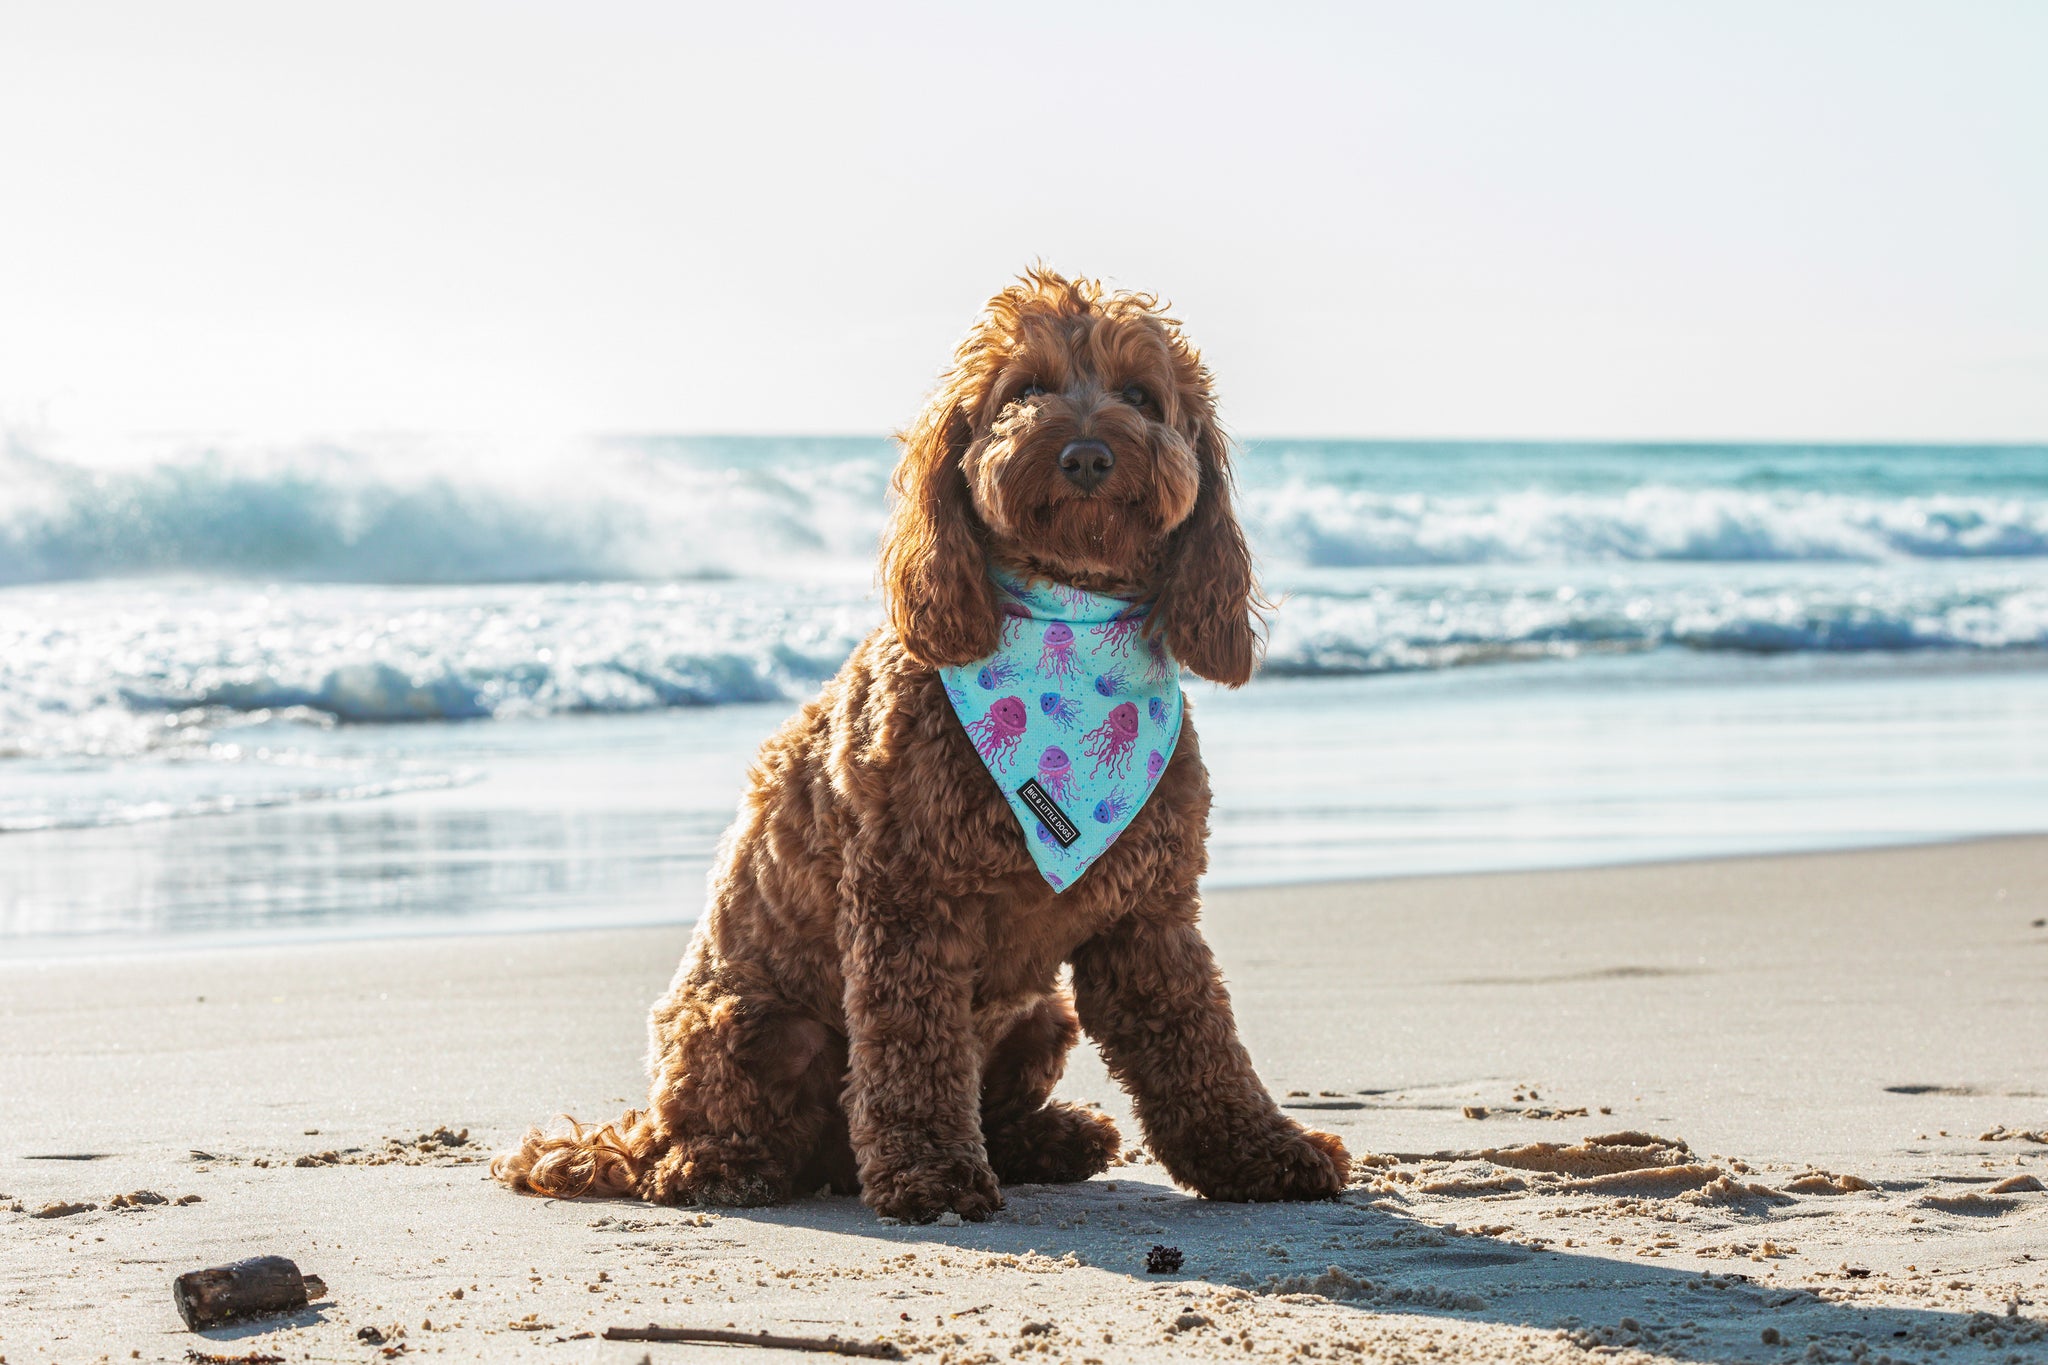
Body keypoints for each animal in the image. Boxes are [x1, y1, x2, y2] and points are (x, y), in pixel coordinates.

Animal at [493, 266, 1351, 1227]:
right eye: (1023, 392)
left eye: (1140, 395)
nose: (1088, 455)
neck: (1068, 615)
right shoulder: (908, 901)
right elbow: (913, 1050)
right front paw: (931, 1174)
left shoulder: (1150, 915)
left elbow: (1200, 1044)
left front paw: (1262, 1151)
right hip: (751, 1020)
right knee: (718, 1145)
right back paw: (724, 1167)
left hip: (1041, 1015)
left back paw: (1053, 1138)